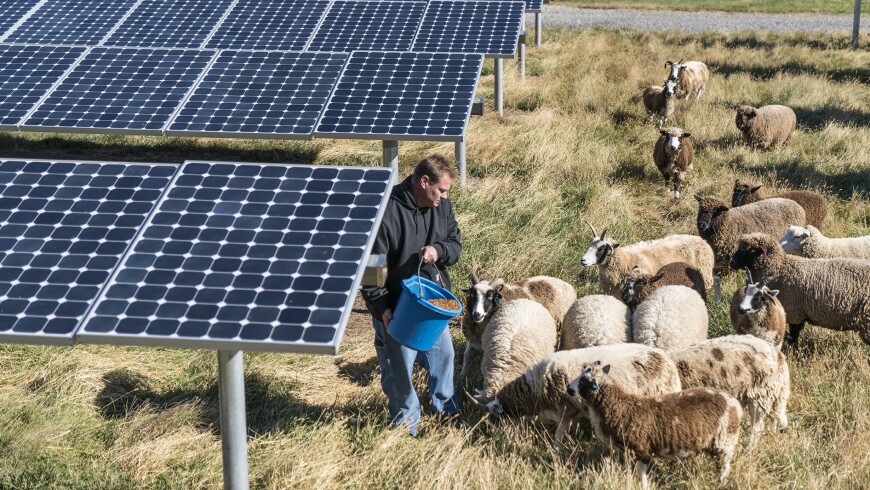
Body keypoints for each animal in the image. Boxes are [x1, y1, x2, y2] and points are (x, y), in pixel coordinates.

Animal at [470, 342, 680, 442]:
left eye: (495, 417)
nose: (490, 434)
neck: (535, 389)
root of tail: (666, 359)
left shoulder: (566, 410)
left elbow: (558, 436)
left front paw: (555, 451)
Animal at [568, 360, 744, 490]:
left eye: (584, 380)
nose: (568, 388)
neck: (622, 406)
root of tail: (735, 403)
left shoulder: (642, 449)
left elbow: (641, 474)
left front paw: (643, 486)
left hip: (725, 439)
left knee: (725, 465)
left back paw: (721, 483)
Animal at [584, 220, 720, 296]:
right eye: (588, 245)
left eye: (602, 248)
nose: (582, 260)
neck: (623, 259)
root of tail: (702, 241)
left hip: (705, 279)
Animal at [668, 334, 796, 446]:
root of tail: (779, 355)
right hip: (774, 392)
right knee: (774, 417)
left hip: (761, 393)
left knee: (758, 426)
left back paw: (749, 448)